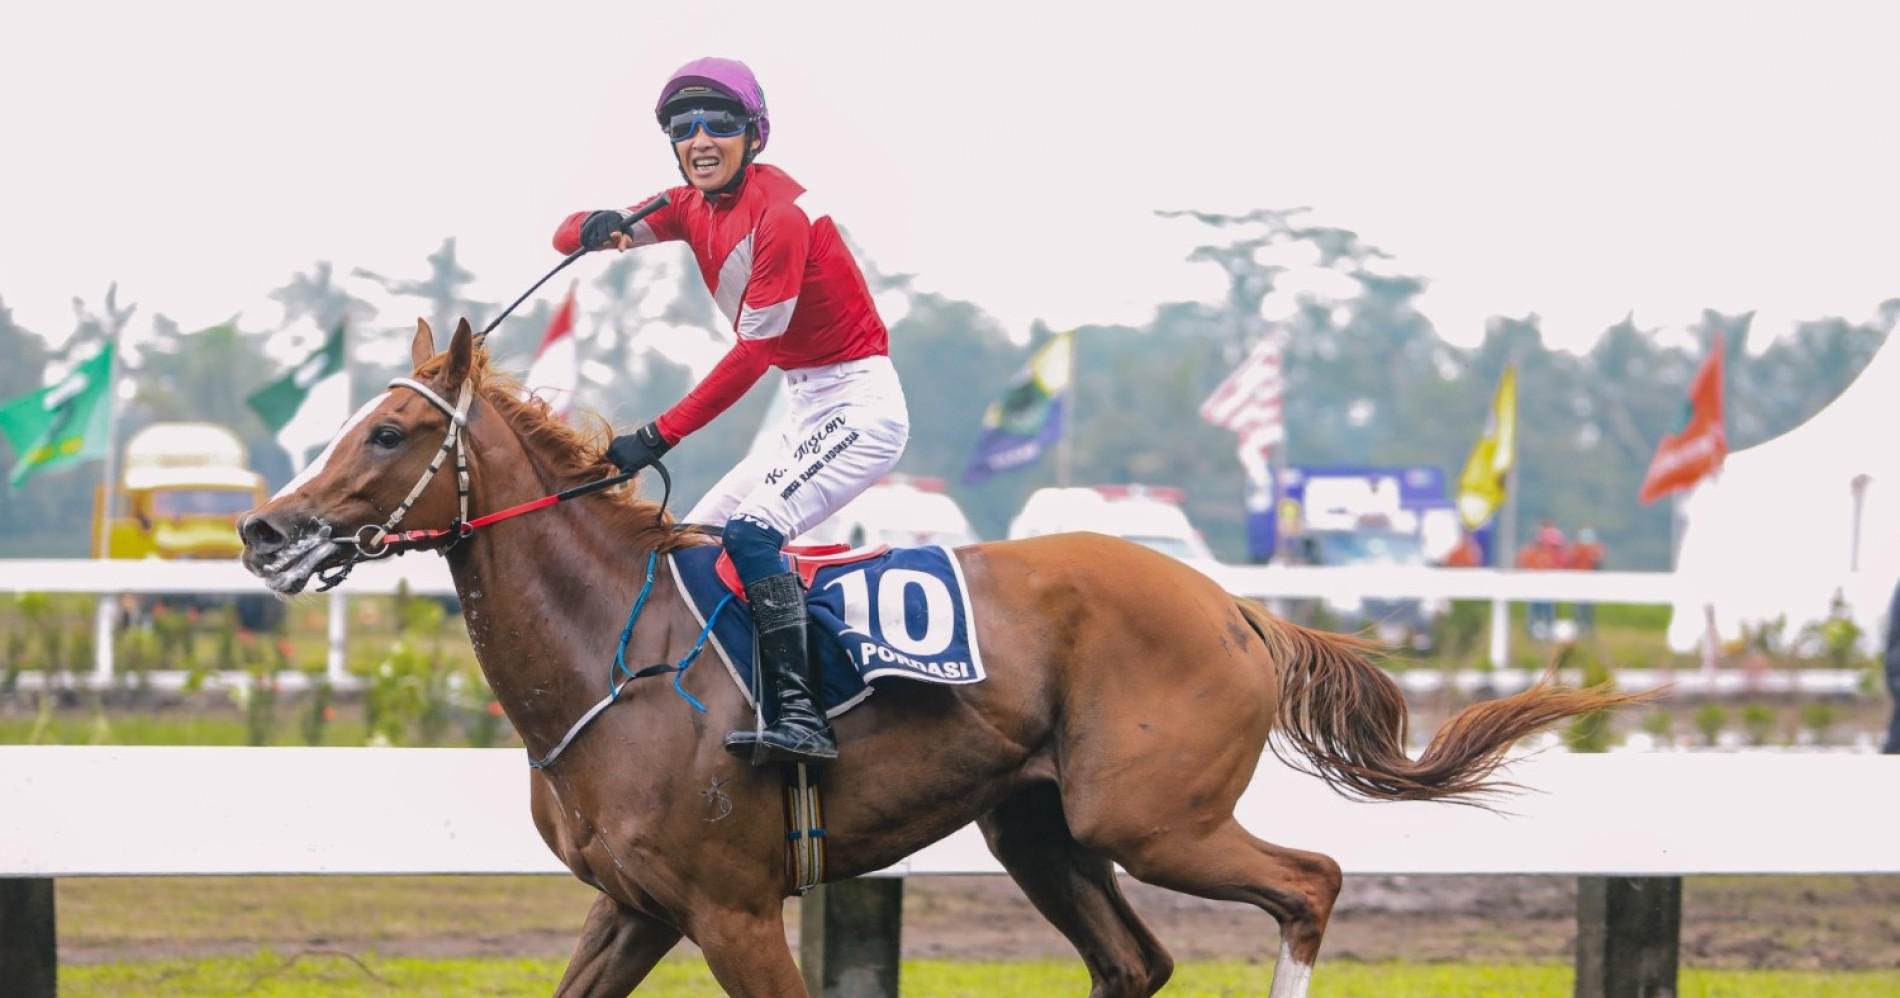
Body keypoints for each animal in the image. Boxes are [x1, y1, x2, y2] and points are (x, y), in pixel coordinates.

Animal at [238, 318, 1639, 998]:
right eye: (354, 421)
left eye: (391, 430)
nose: (266, 527)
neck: (609, 655)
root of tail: (1240, 608)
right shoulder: (636, 904)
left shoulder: (734, 907)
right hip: (1037, 823)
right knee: (1133, 960)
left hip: (1148, 814)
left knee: (1308, 881)